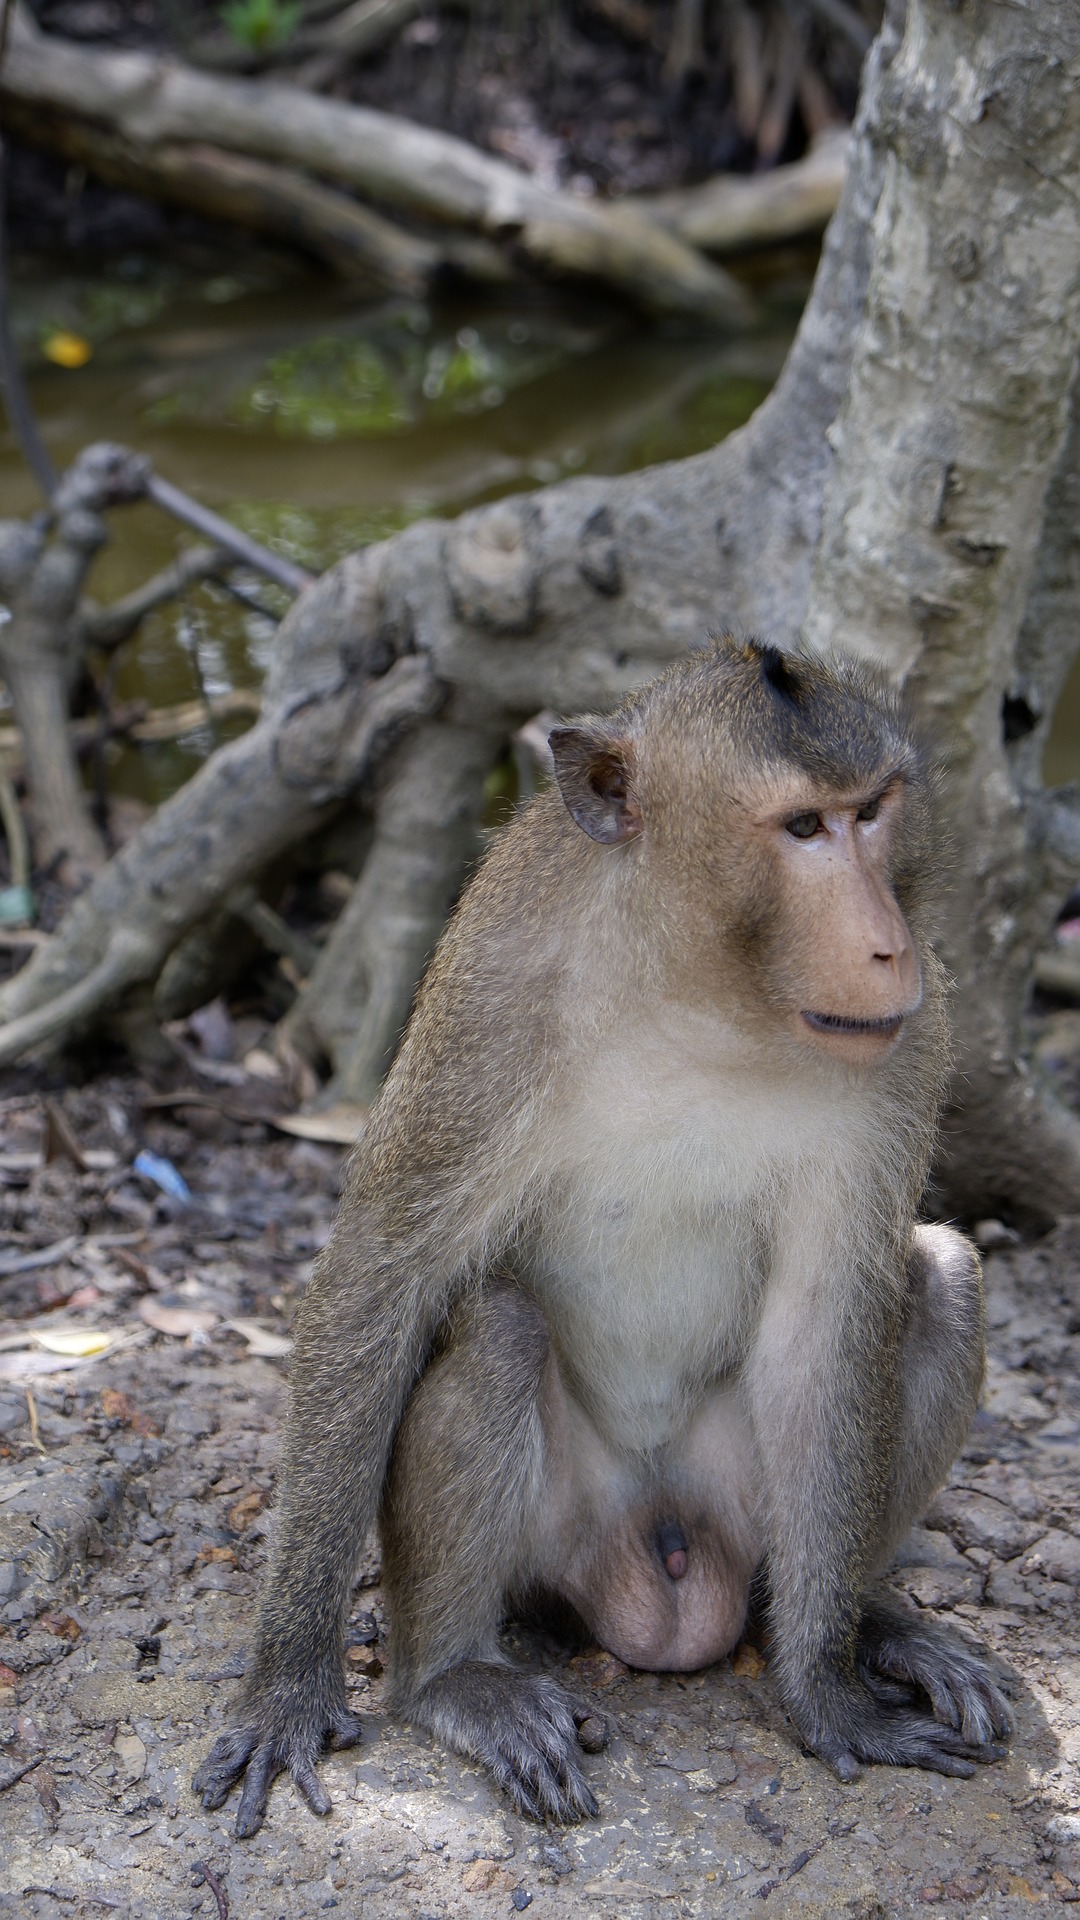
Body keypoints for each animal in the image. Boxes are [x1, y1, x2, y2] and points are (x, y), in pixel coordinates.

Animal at [194, 634, 1011, 1837]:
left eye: (873, 811)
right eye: (803, 829)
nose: (885, 946)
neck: (700, 999)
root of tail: (659, 1550)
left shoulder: (911, 1045)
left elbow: (825, 1326)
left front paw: (827, 1692)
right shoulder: (488, 1009)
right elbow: (380, 1282)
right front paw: (288, 1684)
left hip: (744, 1515)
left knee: (943, 1275)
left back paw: (873, 1619)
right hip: (558, 1541)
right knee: (494, 1323)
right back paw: (453, 1680)